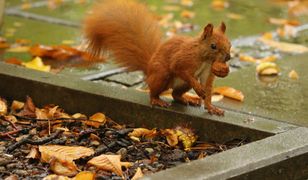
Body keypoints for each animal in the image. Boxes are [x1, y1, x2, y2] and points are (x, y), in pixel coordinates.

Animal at [84, 0, 231, 115]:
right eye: (213, 46)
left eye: (229, 43)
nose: (228, 57)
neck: (205, 59)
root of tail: (149, 70)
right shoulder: (183, 59)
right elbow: (180, 69)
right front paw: (198, 88)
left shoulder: (208, 71)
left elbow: (207, 87)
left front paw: (211, 108)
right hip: (161, 75)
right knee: (153, 92)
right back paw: (157, 100)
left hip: (182, 84)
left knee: (175, 94)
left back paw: (188, 99)